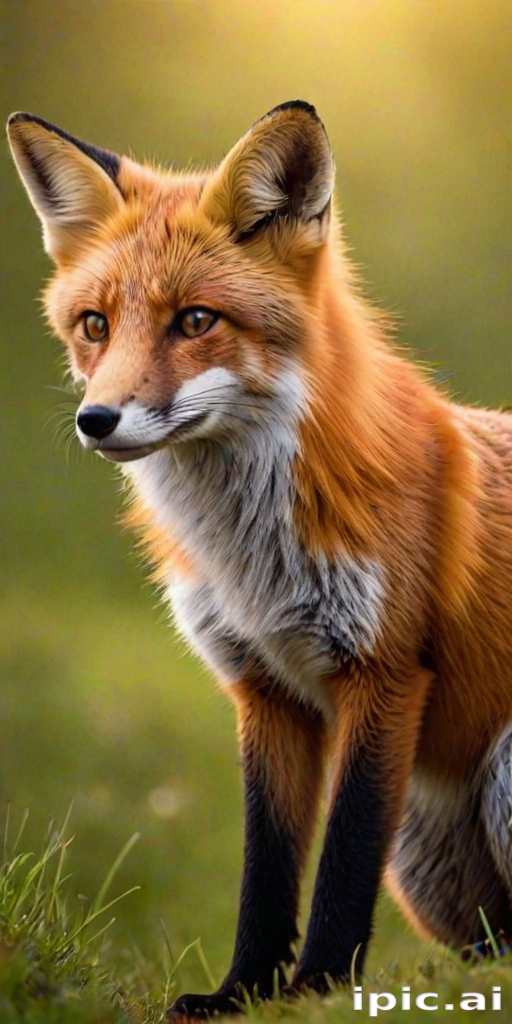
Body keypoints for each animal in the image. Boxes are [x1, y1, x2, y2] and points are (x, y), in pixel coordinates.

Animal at [6, 100, 512, 1021]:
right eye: (95, 325)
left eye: (196, 320)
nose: (97, 419)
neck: (253, 560)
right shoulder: (262, 685)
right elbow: (267, 865)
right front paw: (243, 992)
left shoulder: (384, 671)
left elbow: (343, 854)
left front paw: (319, 986)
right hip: (426, 855)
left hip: (497, 777)